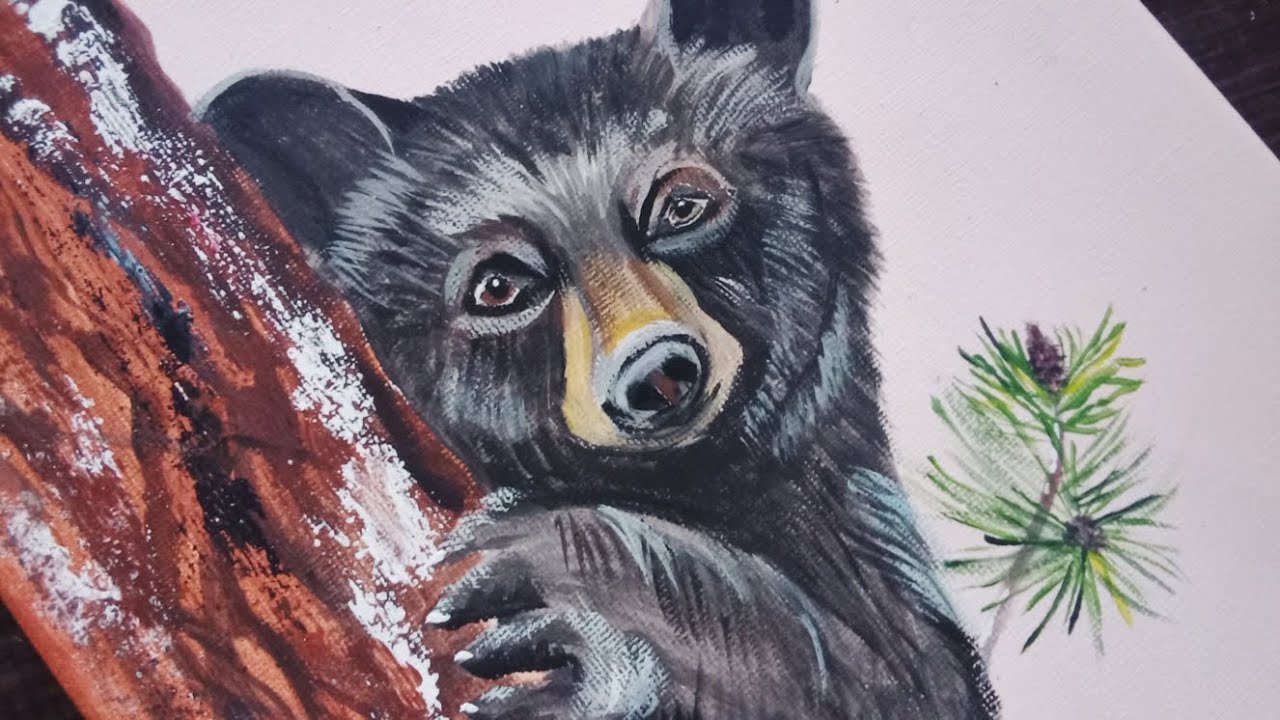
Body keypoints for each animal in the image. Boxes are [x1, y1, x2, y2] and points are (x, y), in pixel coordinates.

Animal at [200, 0, 999, 717]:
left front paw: (579, 587)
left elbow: (909, 675)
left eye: (681, 206)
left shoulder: (865, 532)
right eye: (499, 284)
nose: (658, 371)